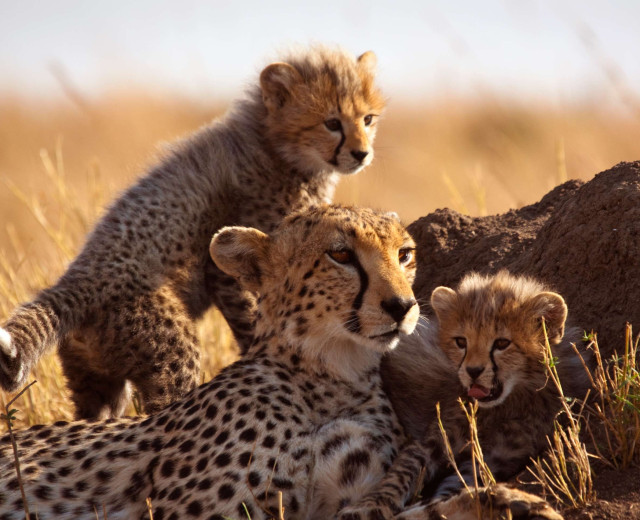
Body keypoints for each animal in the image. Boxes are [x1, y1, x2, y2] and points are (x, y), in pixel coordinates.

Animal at [0, 45, 384, 418]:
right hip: (170, 350)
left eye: (367, 119)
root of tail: (74, 280)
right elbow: (253, 316)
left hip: (97, 382)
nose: (362, 153)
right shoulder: (227, 266)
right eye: (332, 123)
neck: (272, 144)